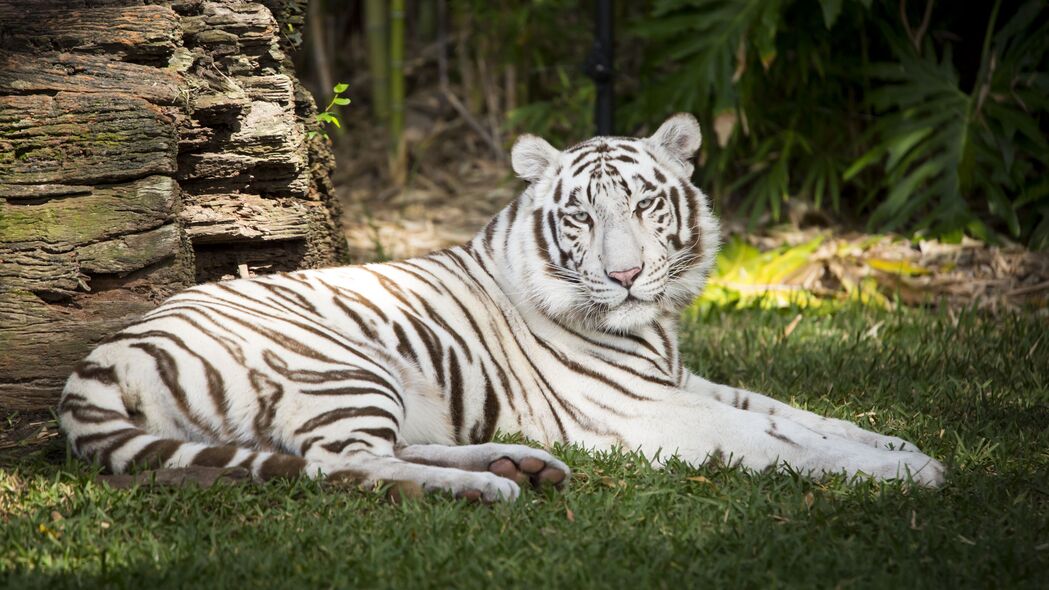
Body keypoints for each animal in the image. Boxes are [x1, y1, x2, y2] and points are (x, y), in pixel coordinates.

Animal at [61, 113, 948, 495]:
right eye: (581, 216)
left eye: (644, 205)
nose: (627, 276)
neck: (652, 330)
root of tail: (97, 362)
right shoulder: (643, 412)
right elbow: (773, 438)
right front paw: (907, 474)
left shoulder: (680, 382)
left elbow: (794, 413)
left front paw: (899, 444)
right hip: (342, 366)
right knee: (340, 465)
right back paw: (492, 489)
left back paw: (517, 463)